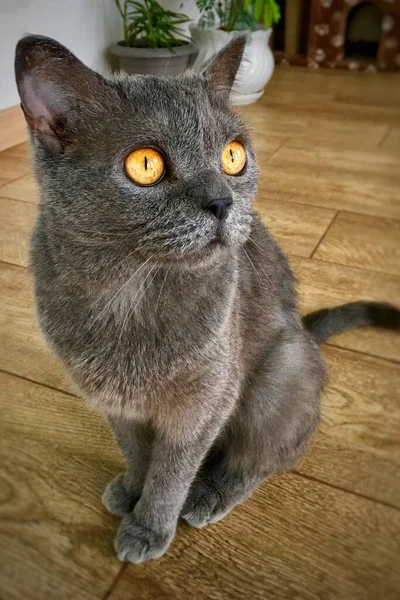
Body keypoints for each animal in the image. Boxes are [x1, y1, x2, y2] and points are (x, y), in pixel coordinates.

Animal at [14, 36, 398, 564]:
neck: (127, 295)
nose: (222, 202)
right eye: (145, 165)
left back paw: (208, 494)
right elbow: (136, 450)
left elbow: (171, 471)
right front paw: (131, 490)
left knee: (271, 453)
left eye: (233, 156)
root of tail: (304, 330)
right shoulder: (113, 399)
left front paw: (149, 526)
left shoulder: (205, 401)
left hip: (280, 373)